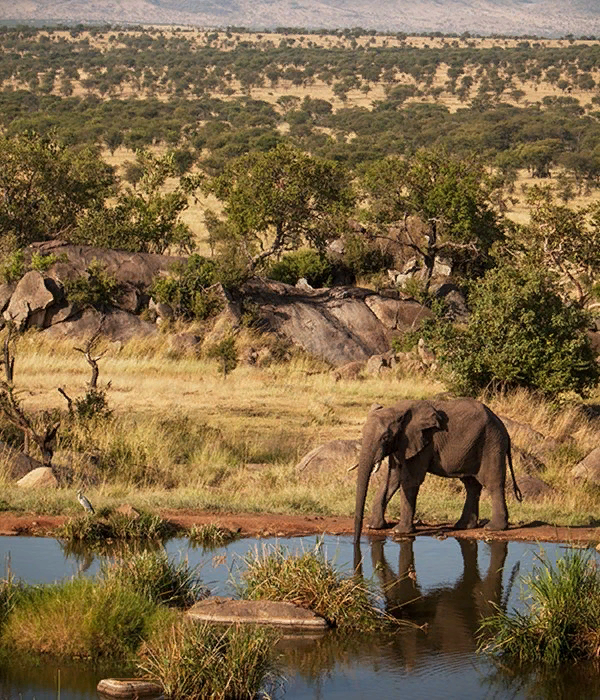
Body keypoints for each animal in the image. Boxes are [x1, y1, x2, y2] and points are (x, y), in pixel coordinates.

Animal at [352, 400, 520, 540]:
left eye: (385, 437)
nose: (357, 539)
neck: (397, 409)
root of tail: (504, 428)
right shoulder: (402, 444)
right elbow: (392, 479)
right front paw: (374, 526)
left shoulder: (423, 443)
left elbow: (410, 480)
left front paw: (400, 531)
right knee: (471, 485)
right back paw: (463, 526)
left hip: (491, 444)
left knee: (493, 483)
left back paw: (493, 528)